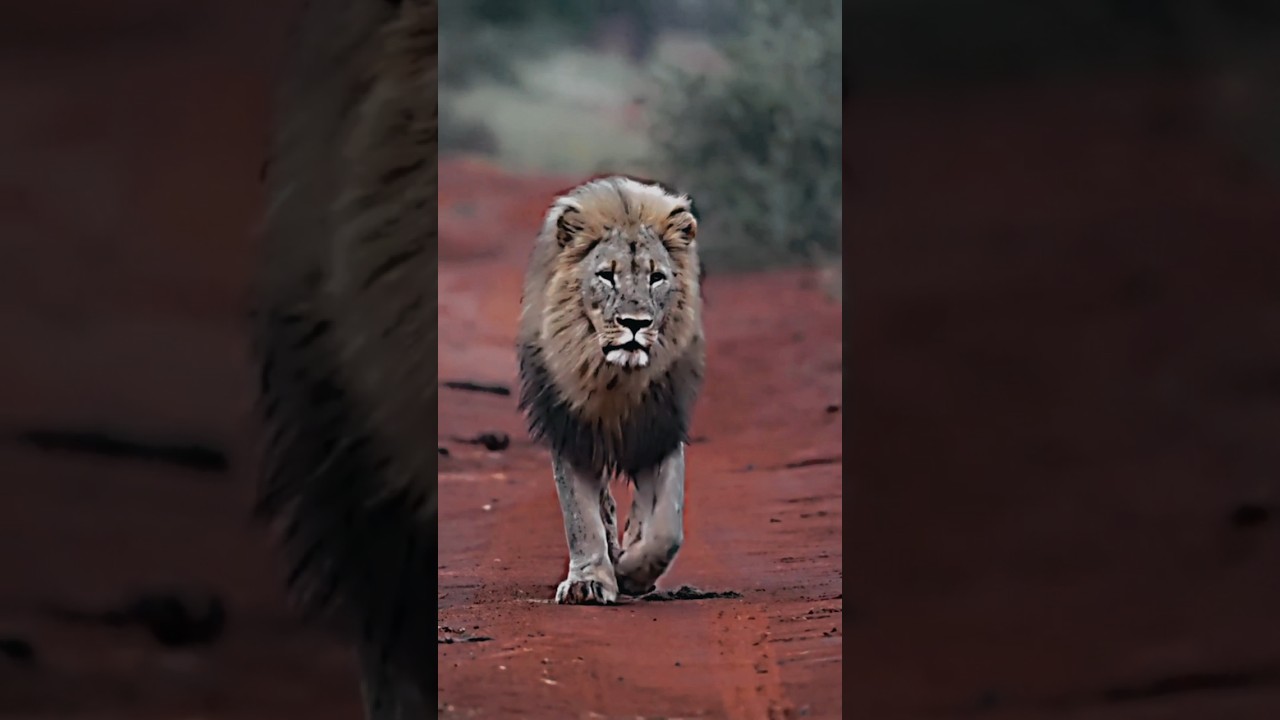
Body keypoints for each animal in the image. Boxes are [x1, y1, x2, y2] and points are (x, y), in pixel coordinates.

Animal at [517, 175, 705, 605]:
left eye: (656, 277)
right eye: (606, 275)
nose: (634, 323)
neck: (615, 379)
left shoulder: (659, 425)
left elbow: (666, 526)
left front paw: (633, 572)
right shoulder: (571, 430)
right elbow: (580, 517)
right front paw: (589, 580)